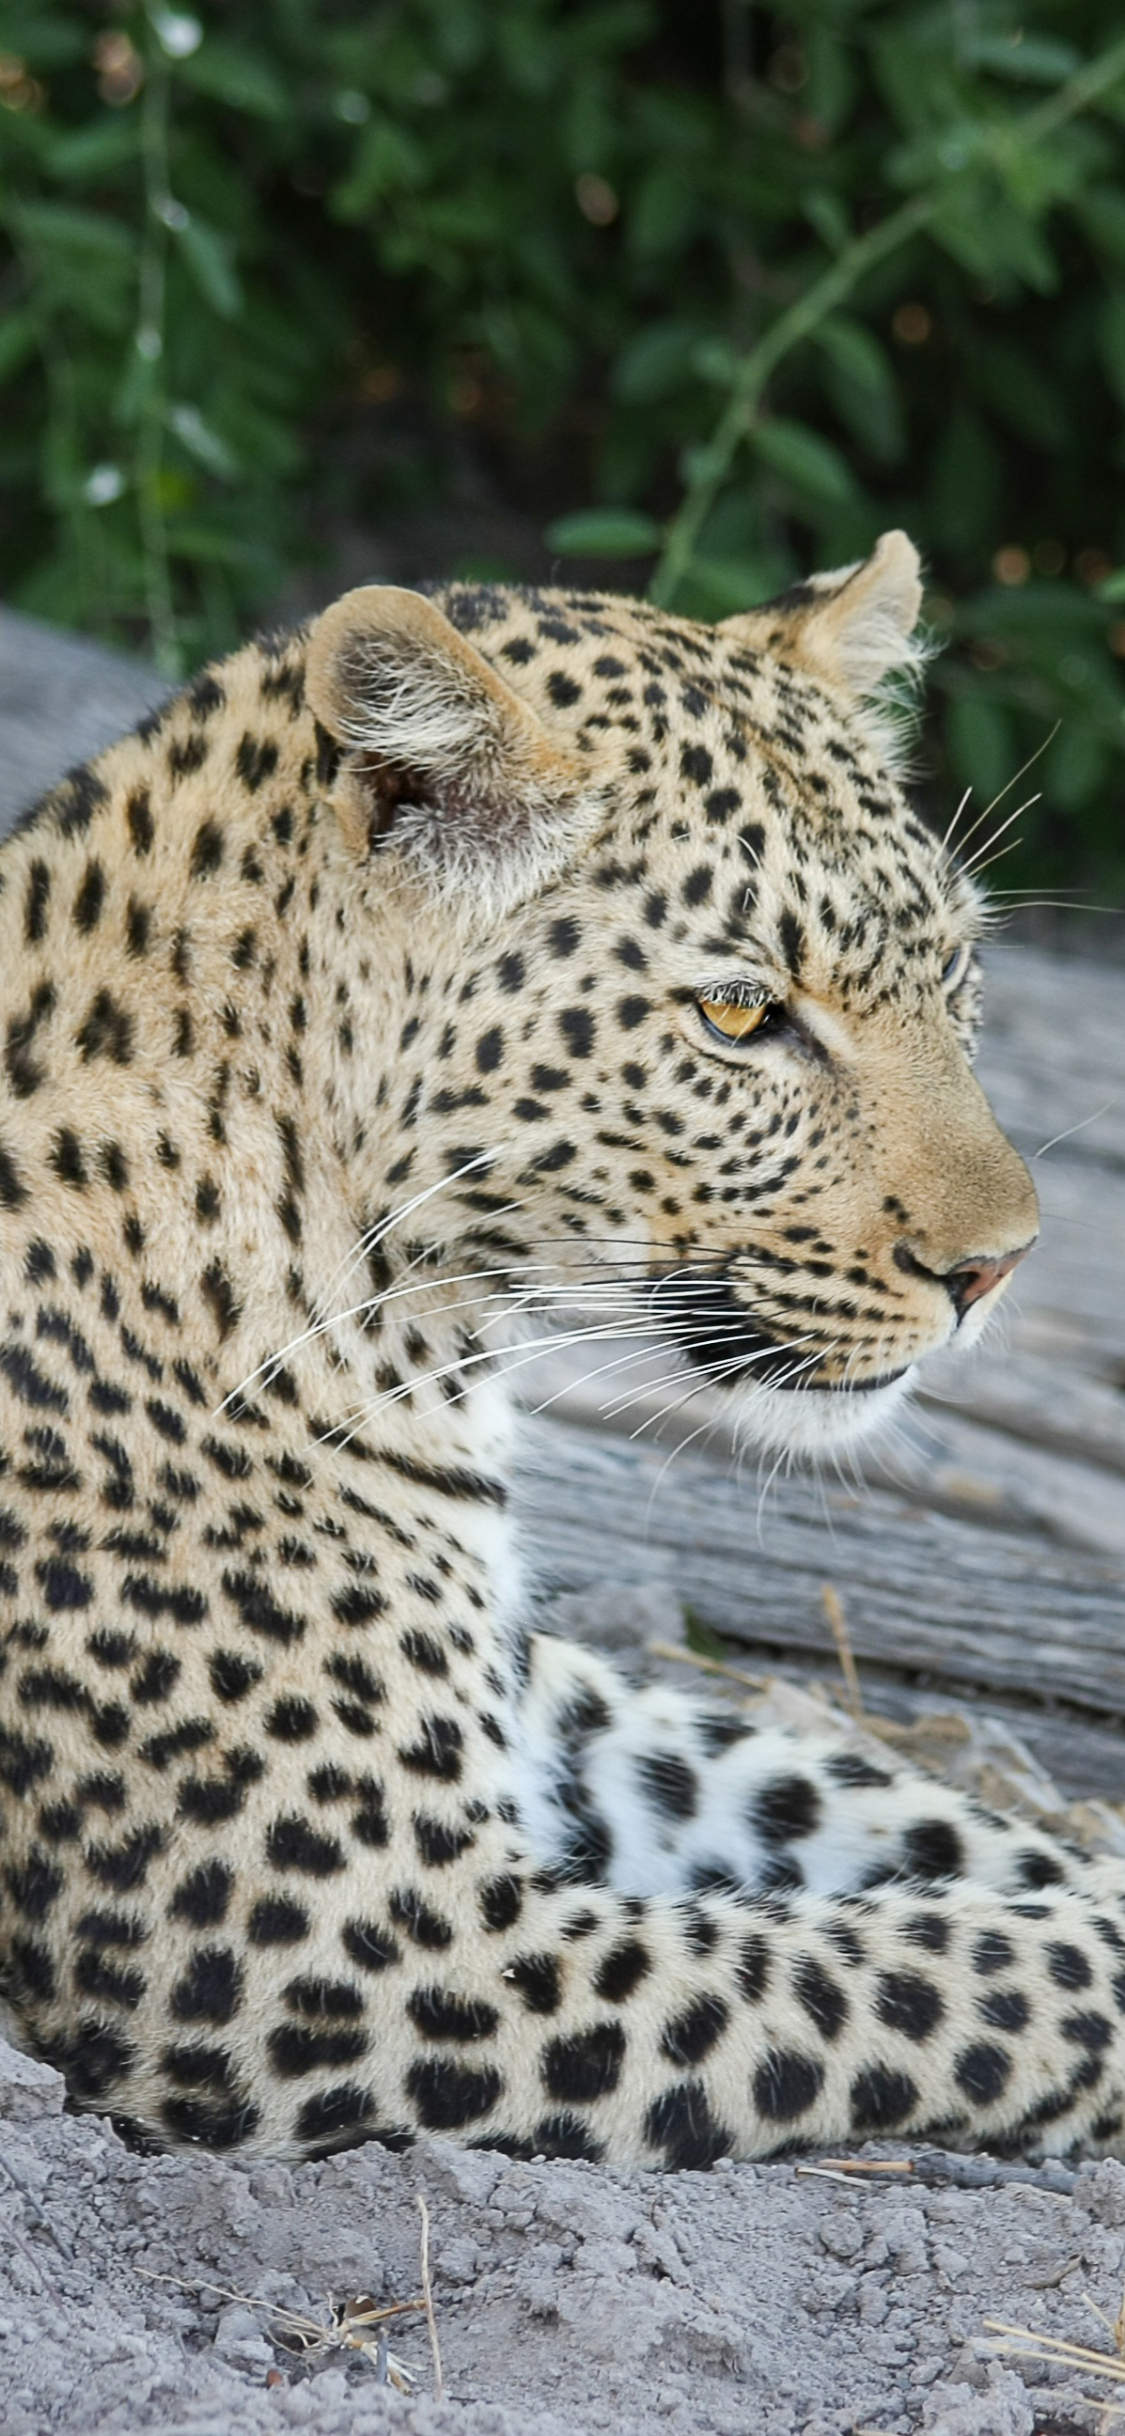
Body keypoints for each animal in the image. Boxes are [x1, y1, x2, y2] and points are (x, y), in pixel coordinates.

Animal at [2, 526, 1123, 2176]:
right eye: (740, 1014)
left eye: (956, 975)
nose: (997, 1268)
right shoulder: (353, 1951)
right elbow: (933, 1968)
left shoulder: (530, 1687)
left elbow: (842, 1793)